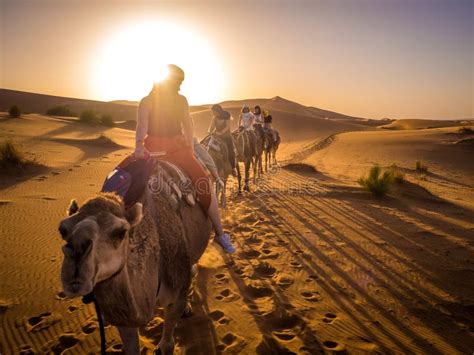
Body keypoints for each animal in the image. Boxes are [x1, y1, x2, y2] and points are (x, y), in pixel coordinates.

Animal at [58, 168, 211, 355]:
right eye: (62, 230)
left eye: (121, 232)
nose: (75, 267)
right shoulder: (125, 320)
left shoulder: (177, 293)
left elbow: (167, 344)